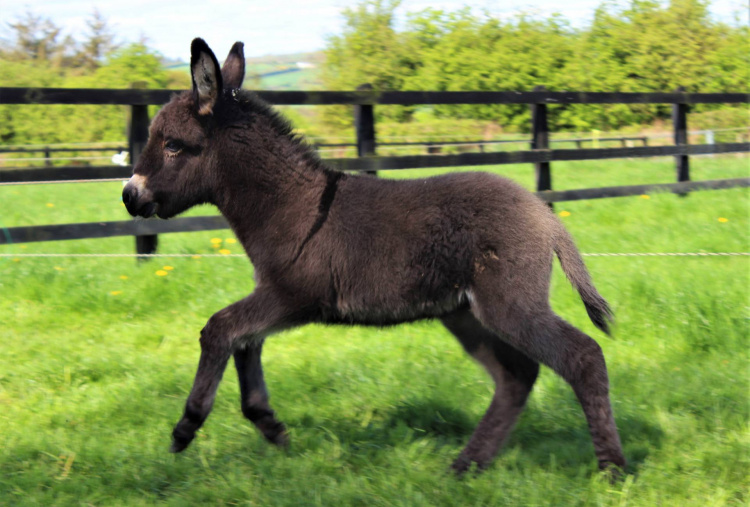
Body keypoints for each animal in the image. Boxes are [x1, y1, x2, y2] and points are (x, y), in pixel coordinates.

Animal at [123, 39, 628, 476]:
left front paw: (186, 427)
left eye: (172, 144)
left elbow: (219, 330)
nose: (129, 196)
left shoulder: (291, 296)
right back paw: (466, 466)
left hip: (510, 304)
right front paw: (270, 426)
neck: (292, 204)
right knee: (517, 376)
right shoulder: (278, 301)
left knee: (582, 356)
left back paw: (612, 470)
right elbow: (245, 344)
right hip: (466, 313)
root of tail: (544, 214)